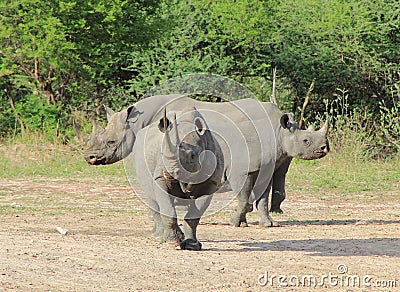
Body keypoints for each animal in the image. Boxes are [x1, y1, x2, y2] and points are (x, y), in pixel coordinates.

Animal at [133, 107, 223, 251]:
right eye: (162, 153)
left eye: (192, 156)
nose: (171, 172)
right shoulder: (160, 177)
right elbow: (167, 209)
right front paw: (171, 242)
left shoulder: (211, 183)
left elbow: (194, 216)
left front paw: (192, 245)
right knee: (152, 197)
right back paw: (159, 238)